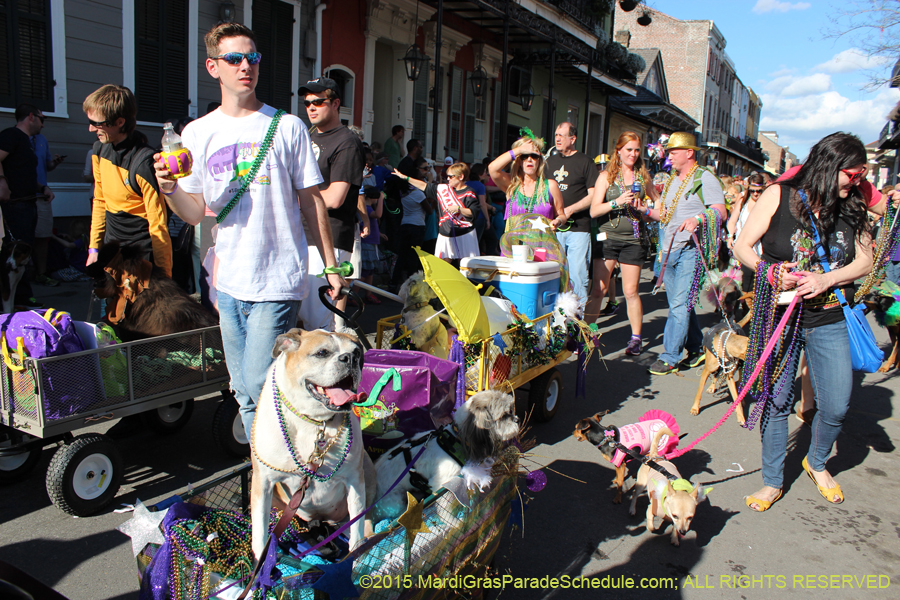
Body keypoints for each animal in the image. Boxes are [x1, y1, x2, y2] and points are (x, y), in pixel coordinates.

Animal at [248, 328, 374, 556]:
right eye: (322, 352)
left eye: (357, 352)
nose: (349, 358)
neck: (314, 421)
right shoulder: (263, 483)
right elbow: (260, 534)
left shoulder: (354, 479)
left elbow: (357, 524)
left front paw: (356, 554)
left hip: (366, 469)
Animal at [370, 390, 516, 520]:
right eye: (503, 416)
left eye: (511, 410)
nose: (517, 419)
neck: (456, 437)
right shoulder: (442, 483)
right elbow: (447, 509)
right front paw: (455, 521)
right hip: (395, 503)